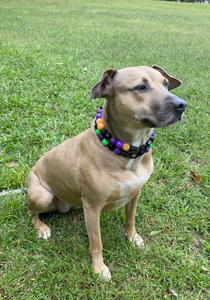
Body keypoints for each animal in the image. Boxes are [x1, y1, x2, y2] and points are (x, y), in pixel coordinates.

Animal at [27, 64, 186, 280]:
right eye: (141, 87)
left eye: (166, 84)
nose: (182, 105)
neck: (127, 153)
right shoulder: (93, 207)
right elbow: (96, 243)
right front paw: (99, 268)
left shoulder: (135, 193)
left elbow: (130, 219)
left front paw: (132, 237)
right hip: (42, 196)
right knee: (31, 212)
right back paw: (41, 228)